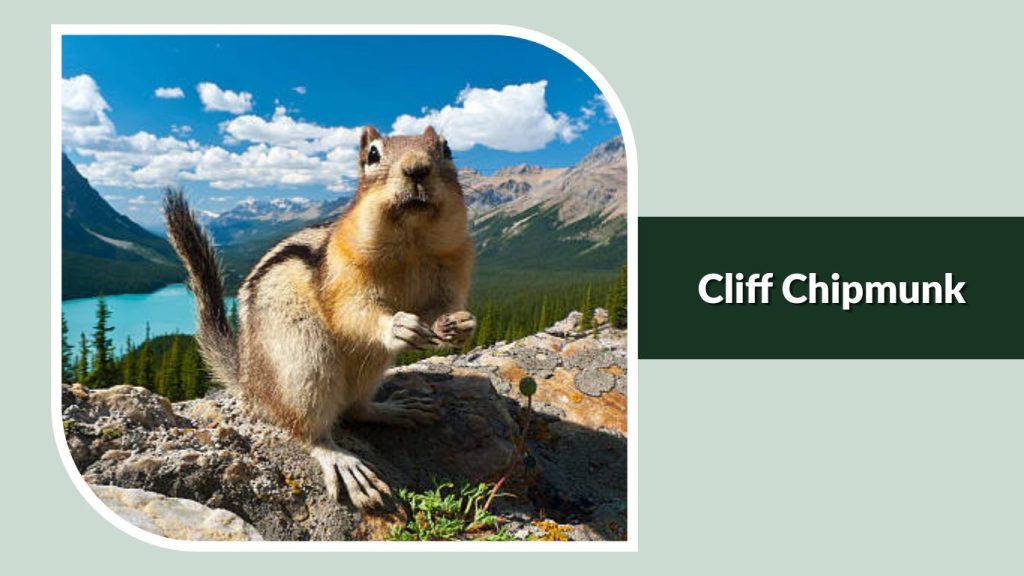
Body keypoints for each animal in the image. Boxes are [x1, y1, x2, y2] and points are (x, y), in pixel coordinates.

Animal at [163, 125, 477, 509]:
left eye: (446, 149)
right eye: (373, 155)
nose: (417, 168)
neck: (413, 242)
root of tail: (251, 384)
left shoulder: (454, 264)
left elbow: (445, 306)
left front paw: (461, 324)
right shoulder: (344, 272)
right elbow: (352, 312)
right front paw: (397, 324)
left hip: (369, 365)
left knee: (354, 409)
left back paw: (397, 409)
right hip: (304, 360)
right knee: (308, 430)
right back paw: (341, 461)